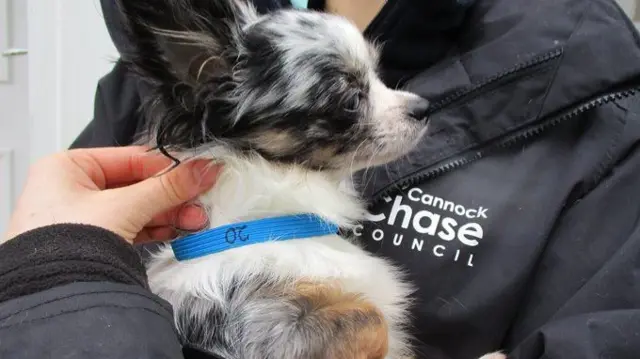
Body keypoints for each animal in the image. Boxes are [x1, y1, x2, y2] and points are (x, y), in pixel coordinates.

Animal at [114, 0, 504, 359]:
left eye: (377, 74)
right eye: (351, 99)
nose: (424, 108)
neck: (278, 221)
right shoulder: (273, 333)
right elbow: (371, 315)